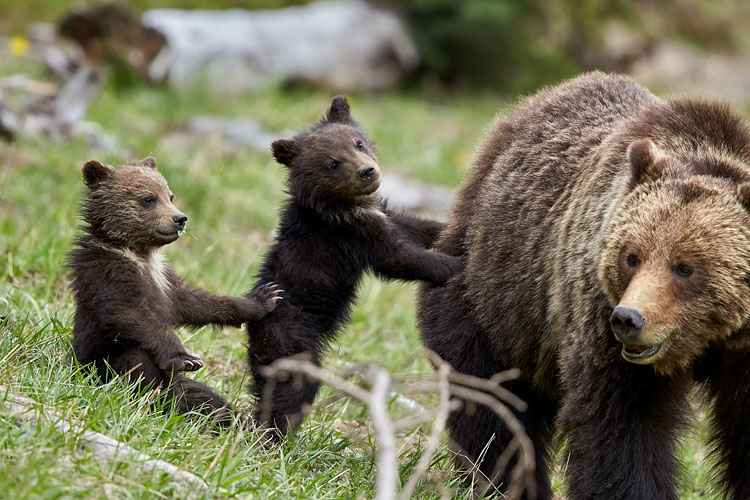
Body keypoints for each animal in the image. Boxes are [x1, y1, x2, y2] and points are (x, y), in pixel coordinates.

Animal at [69, 157, 281, 424]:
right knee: (137, 363)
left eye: (170, 195)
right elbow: (131, 314)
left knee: (206, 398)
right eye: (148, 198)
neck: (139, 252)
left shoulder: (165, 280)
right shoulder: (108, 273)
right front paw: (185, 358)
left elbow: (194, 303)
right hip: (97, 363)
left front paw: (265, 298)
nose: (180, 218)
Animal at [246, 96, 464, 439]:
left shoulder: (377, 215)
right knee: (292, 389)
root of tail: (255, 322)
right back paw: (276, 436)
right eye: (332, 163)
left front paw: (446, 228)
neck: (343, 206)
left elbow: (413, 227)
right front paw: (455, 263)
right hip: (293, 336)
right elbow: (400, 257)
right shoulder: (350, 235)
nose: (367, 171)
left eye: (358, 142)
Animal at [418, 71, 750, 500]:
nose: (629, 319)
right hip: (496, 300)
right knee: (491, 404)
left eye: (685, 267)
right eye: (632, 256)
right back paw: (504, 483)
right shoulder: (598, 317)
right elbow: (621, 428)